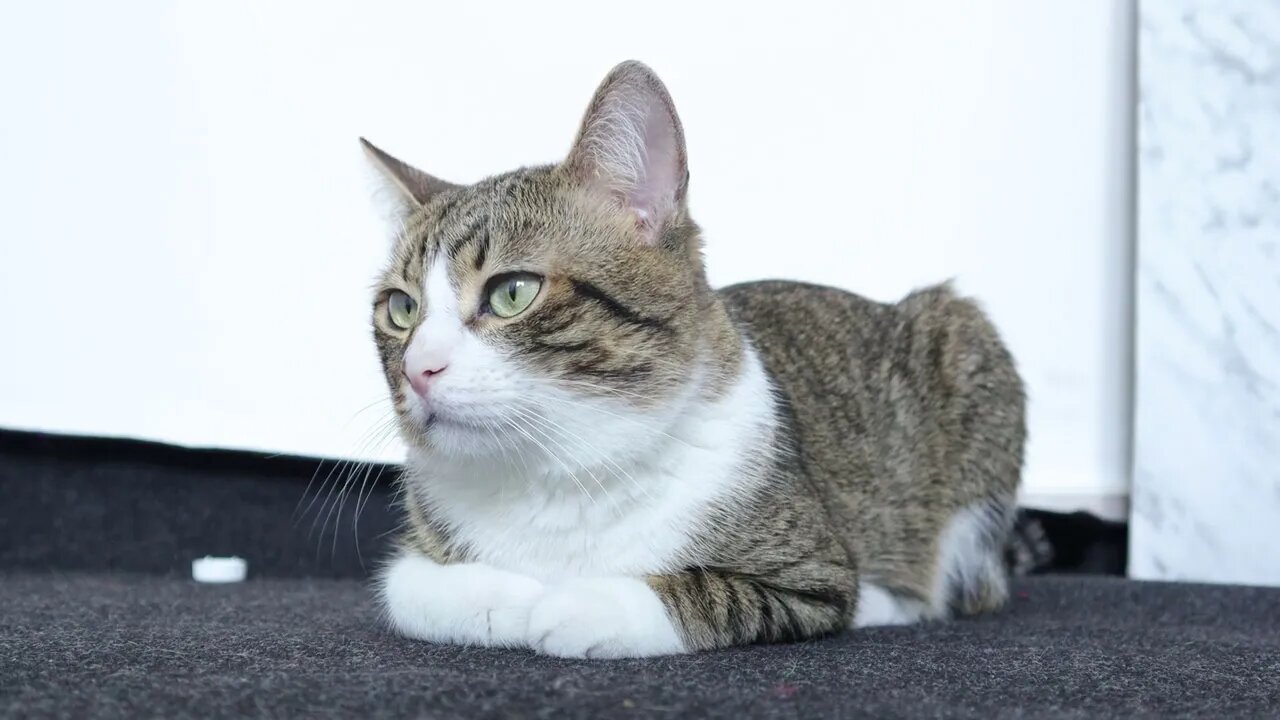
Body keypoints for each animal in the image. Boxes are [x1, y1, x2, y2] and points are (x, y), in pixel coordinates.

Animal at [363, 60, 1029, 655]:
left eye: (512, 292)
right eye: (401, 308)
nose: (419, 369)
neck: (552, 472)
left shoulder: (813, 570)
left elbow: (713, 593)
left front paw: (581, 604)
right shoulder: (419, 556)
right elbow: (407, 588)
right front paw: (508, 597)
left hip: (965, 342)